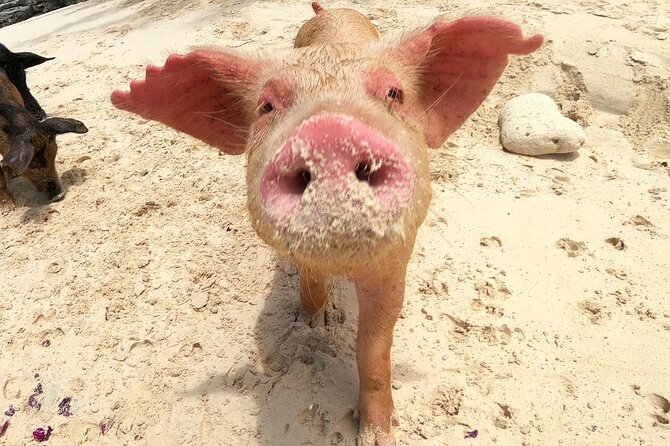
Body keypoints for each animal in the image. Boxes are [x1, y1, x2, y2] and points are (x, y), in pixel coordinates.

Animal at [111, 3, 543, 444]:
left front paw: (375, 436)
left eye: (394, 93)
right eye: (267, 106)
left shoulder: (394, 264)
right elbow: (310, 281)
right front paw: (313, 324)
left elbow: (374, 344)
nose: (330, 132)